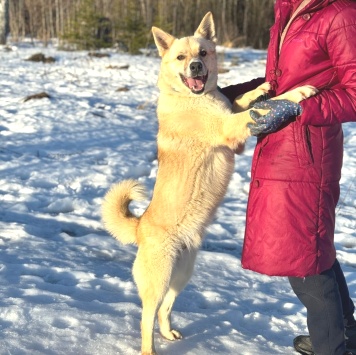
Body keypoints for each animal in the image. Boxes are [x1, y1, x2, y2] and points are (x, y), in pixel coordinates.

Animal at [101, 11, 318, 355]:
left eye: (203, 52)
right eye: (181, 57)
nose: (196, 67)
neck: (191, 97)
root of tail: (140, 225)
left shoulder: (231, 120)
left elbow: (242, 99)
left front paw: (261, 87)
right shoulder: (228, 128)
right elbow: (263, 106)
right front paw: (296, 93)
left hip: (182, 273)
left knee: (164, 309)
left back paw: (170, 334)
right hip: (159, 277)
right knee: (146, 317)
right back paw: (149, 348)